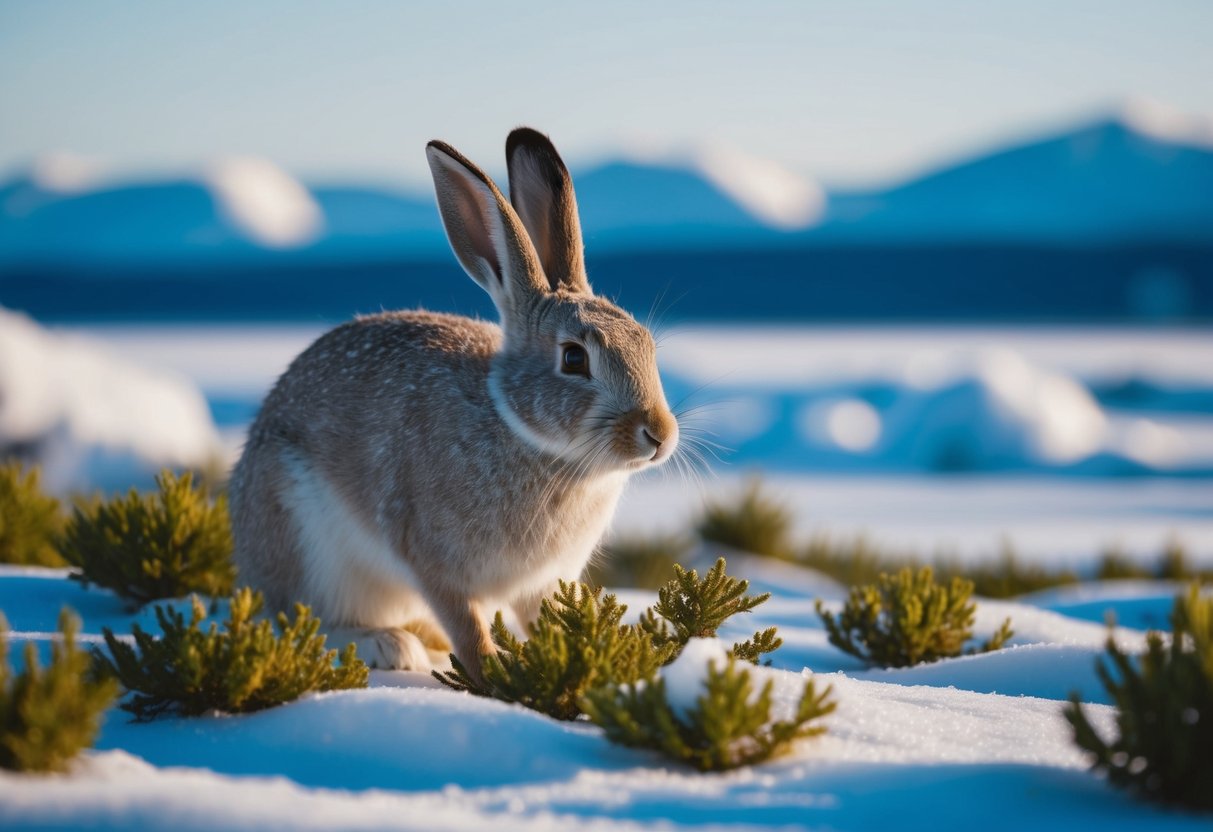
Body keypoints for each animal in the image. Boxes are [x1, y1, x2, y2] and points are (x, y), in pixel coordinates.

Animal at [228, 127, 679, 676]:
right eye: (574, 359)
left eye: (646, 345)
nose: (659, 434)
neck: (526, 435)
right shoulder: (431, 559)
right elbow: (465, 624)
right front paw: (492, 671)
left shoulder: (541, 583)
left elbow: (545, 620)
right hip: (303, 541)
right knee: (299, 619)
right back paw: (388, 644)